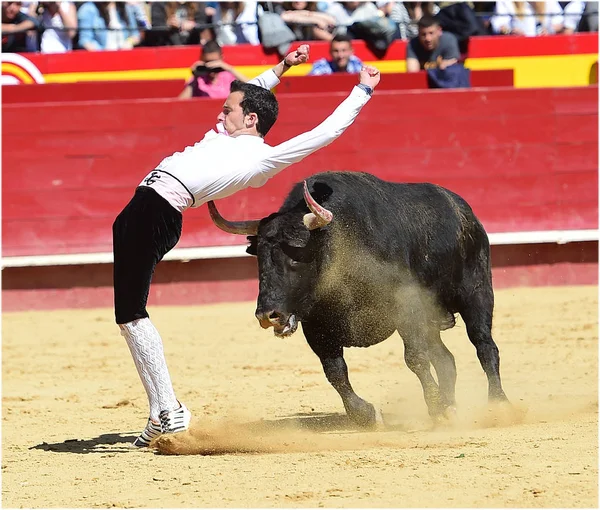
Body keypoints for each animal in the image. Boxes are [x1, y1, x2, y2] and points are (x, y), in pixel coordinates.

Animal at [209, 171, 508, 426]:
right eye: (259, 257)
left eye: (295, 256)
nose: (268, 315)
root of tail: (462, 208)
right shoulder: (316, 326)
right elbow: (335, 371)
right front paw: (367, 415)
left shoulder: (405, 307)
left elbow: (415, 358)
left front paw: (436, 408)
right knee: (446, 359)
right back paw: (452, 405)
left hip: (477, 293)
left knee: (484, 346)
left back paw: (498, 405)